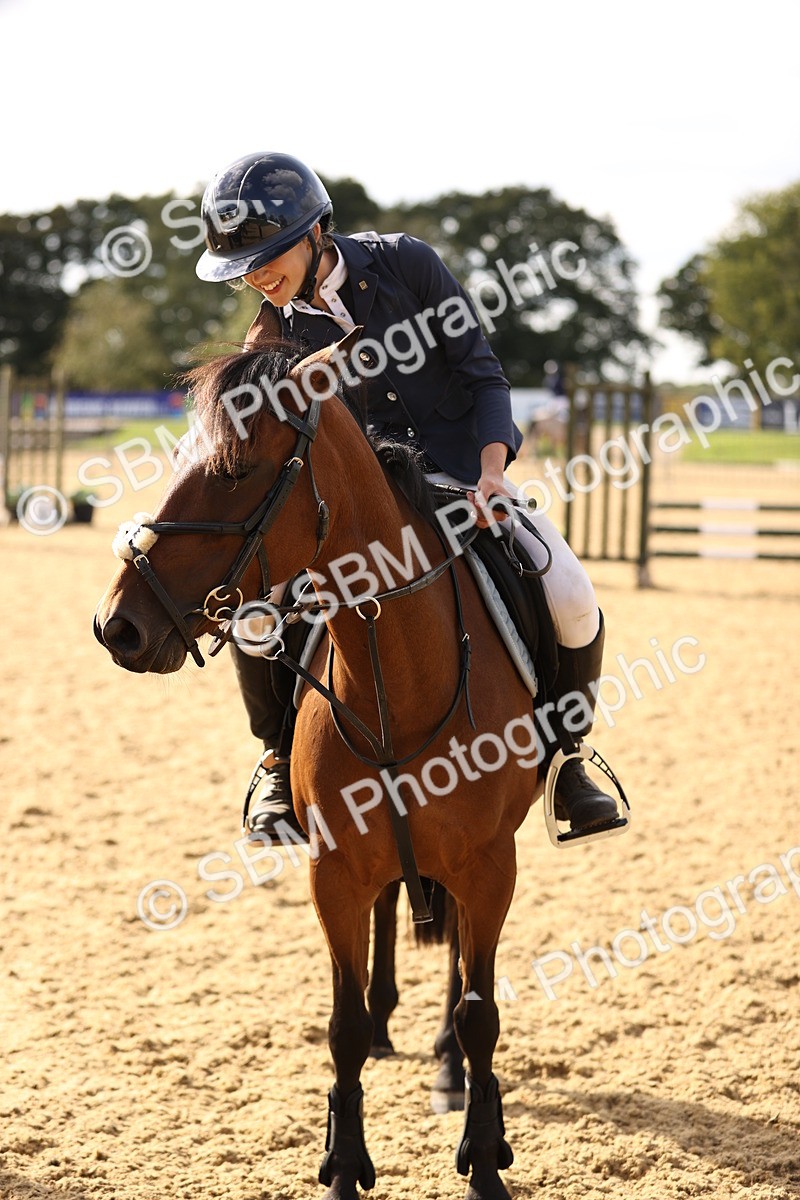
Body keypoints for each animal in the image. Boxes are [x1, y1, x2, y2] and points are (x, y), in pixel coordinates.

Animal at [94, 329, 539, 1200]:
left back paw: (444, 1067)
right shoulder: (334, 872)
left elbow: (478, 1012)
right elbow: (342, 1025)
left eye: (236, 468)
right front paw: (342, 1166)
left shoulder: (488, 867)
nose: (116, 625)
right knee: (391, 919)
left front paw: (484, 1160)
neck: (398, 673)